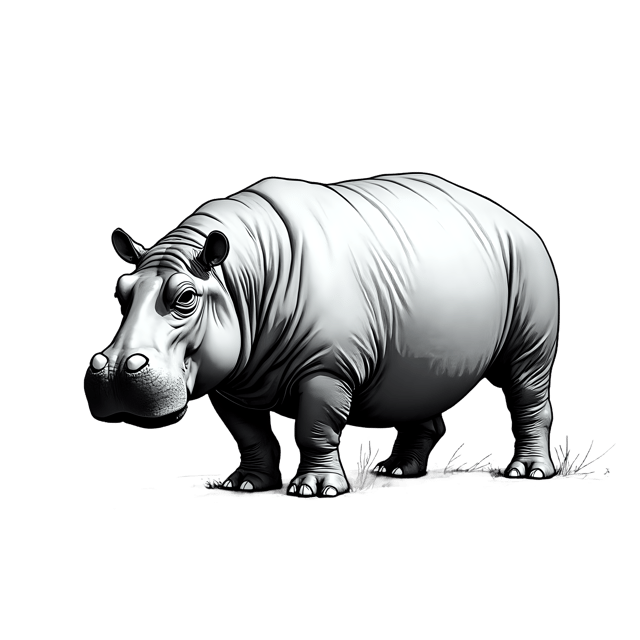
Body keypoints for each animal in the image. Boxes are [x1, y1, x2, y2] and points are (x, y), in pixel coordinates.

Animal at [83, 173, 560, 497]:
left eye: (185, 298)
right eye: (120, 292)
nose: (111, 374)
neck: (237, 279)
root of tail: (516, 219)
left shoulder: (327, 367)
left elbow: (314, 425)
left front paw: (315, 490)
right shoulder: (232, 378)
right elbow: (248, 432)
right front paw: (245, 484)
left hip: (529, 266)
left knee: (524, 380)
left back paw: (528, 474)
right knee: (417, 383)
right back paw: (396, 472)